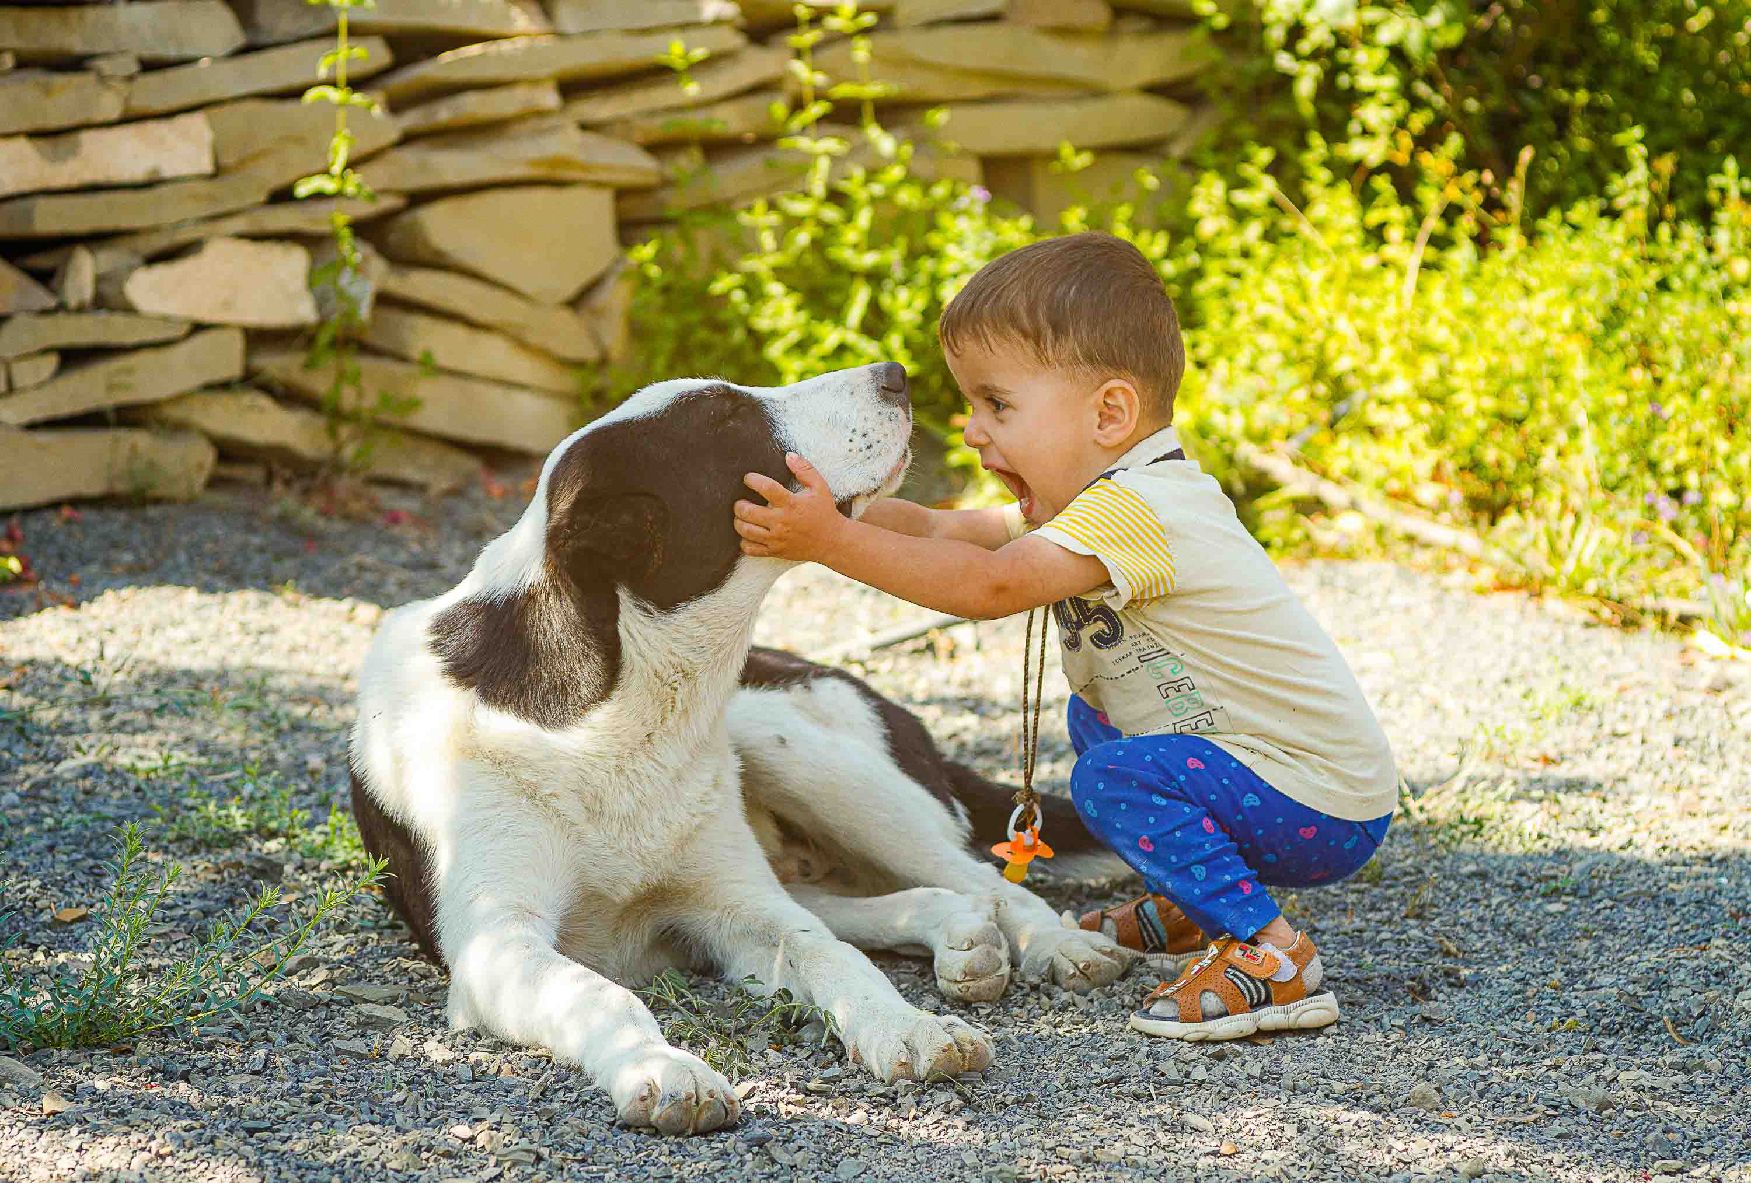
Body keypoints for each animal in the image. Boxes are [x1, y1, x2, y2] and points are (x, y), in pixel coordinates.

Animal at [348, 362, 1127, 1134]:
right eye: (724, 418)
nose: (896, 374)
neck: (617, 712)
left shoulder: (736, 905)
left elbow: (829, 953)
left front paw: (906, 1027)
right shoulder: (497, 944)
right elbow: (600, 993)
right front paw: (664, 1068)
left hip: (798, 751)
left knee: (980, 881)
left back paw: (1052, 943)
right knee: (894, 897)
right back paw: (959, 937)